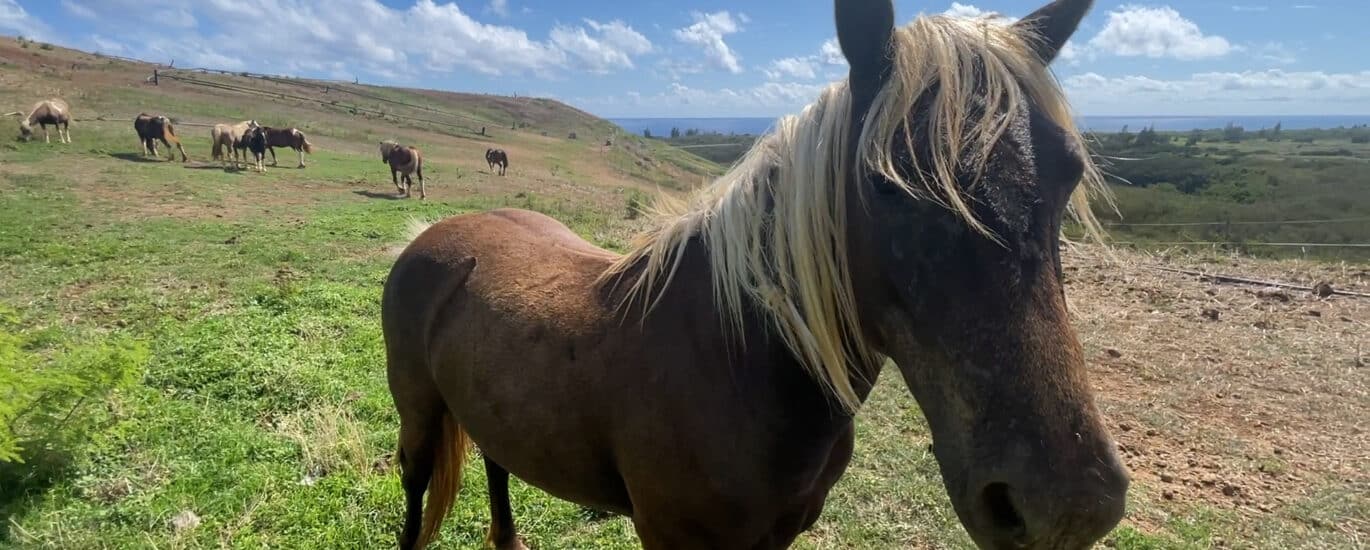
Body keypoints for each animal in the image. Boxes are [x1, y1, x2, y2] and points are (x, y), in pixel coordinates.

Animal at [383, 1, 1123, 548]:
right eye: (887, 185)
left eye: (1069, 173)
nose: (1069, 504)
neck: (733, 359)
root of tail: (435, 233)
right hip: (417, 416)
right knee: (415, 488)